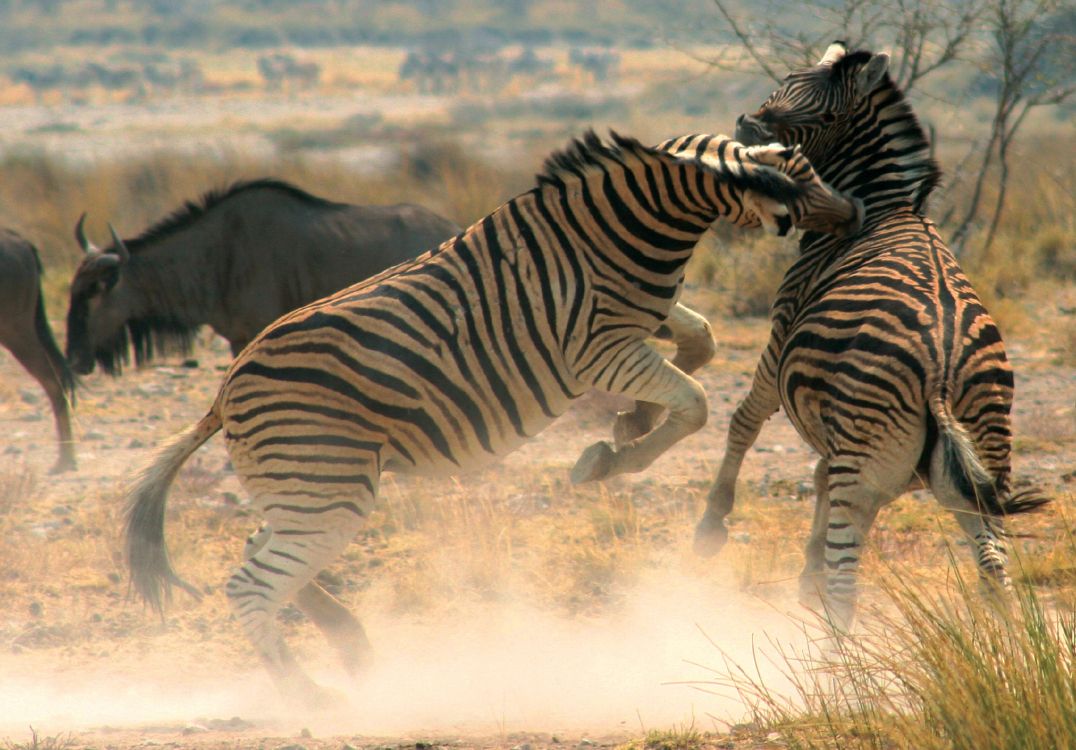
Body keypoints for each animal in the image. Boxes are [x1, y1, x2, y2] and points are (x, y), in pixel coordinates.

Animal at [125, 130, 862, 706]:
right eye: (799, 176)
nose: (855, 211)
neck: (626, 232)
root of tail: (224, 390)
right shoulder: (597, 349)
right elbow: (695, 402)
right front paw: (609, 458)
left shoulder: (640, 326)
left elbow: (701, 344)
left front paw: (631, 422)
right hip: (326, 488)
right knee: (251, 584)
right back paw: (310, 693)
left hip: (306, 486)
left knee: (263, 555)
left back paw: (352, 648)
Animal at [693, 42, 1051, 631]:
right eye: (786, 79)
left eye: (825, 117)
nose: (746, 128)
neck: (886, 208)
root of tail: (942, 373)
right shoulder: (861, 444)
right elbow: (817, 473)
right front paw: (807, 570)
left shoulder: (780, 333)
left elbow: (745, 419)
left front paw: (712, 522)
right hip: (981, 470)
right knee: (995, 579)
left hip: (869, 466)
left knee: (848, 590)